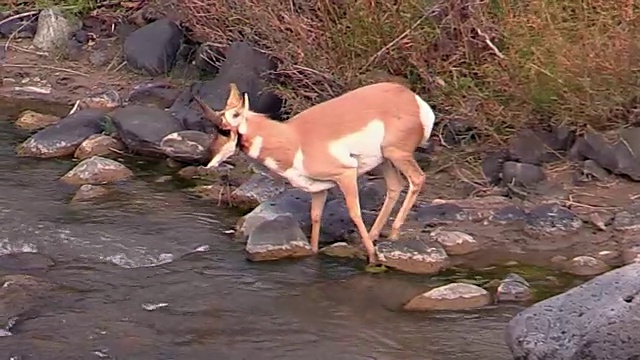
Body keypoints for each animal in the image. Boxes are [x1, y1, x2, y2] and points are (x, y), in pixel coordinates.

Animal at [192, 82, 438, 268]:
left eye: (225, 130)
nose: (206, 160)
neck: (294, 139)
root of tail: (414, 100)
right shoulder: (319, 188)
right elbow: (315, 217)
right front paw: (312, 252)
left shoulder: (346, 175)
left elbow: (354, 212)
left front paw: (372, 258)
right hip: (385, 160)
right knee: (395, 186)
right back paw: (377, 236)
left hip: (395, 154)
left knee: (417, 179)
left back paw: (391, 235)